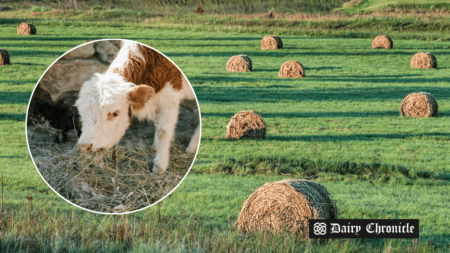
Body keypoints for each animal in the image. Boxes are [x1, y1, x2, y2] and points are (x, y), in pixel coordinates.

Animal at [75, 40, 199, 175]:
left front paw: (160, 165)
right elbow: (157, 124)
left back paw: (192, 147)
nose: (84, 147)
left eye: (114, 113)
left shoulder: (170, 97)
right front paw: (155, 146)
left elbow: (163, 132)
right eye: (81, 113)